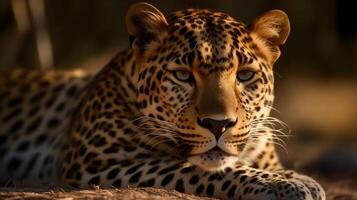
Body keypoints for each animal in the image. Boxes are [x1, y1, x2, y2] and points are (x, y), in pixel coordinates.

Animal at [0, 2, 324, 199]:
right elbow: (192, 168)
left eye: (244, 75)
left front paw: (294, 177)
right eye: (182, 75)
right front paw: (285, 184)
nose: (218, 125)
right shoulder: (95, 162)